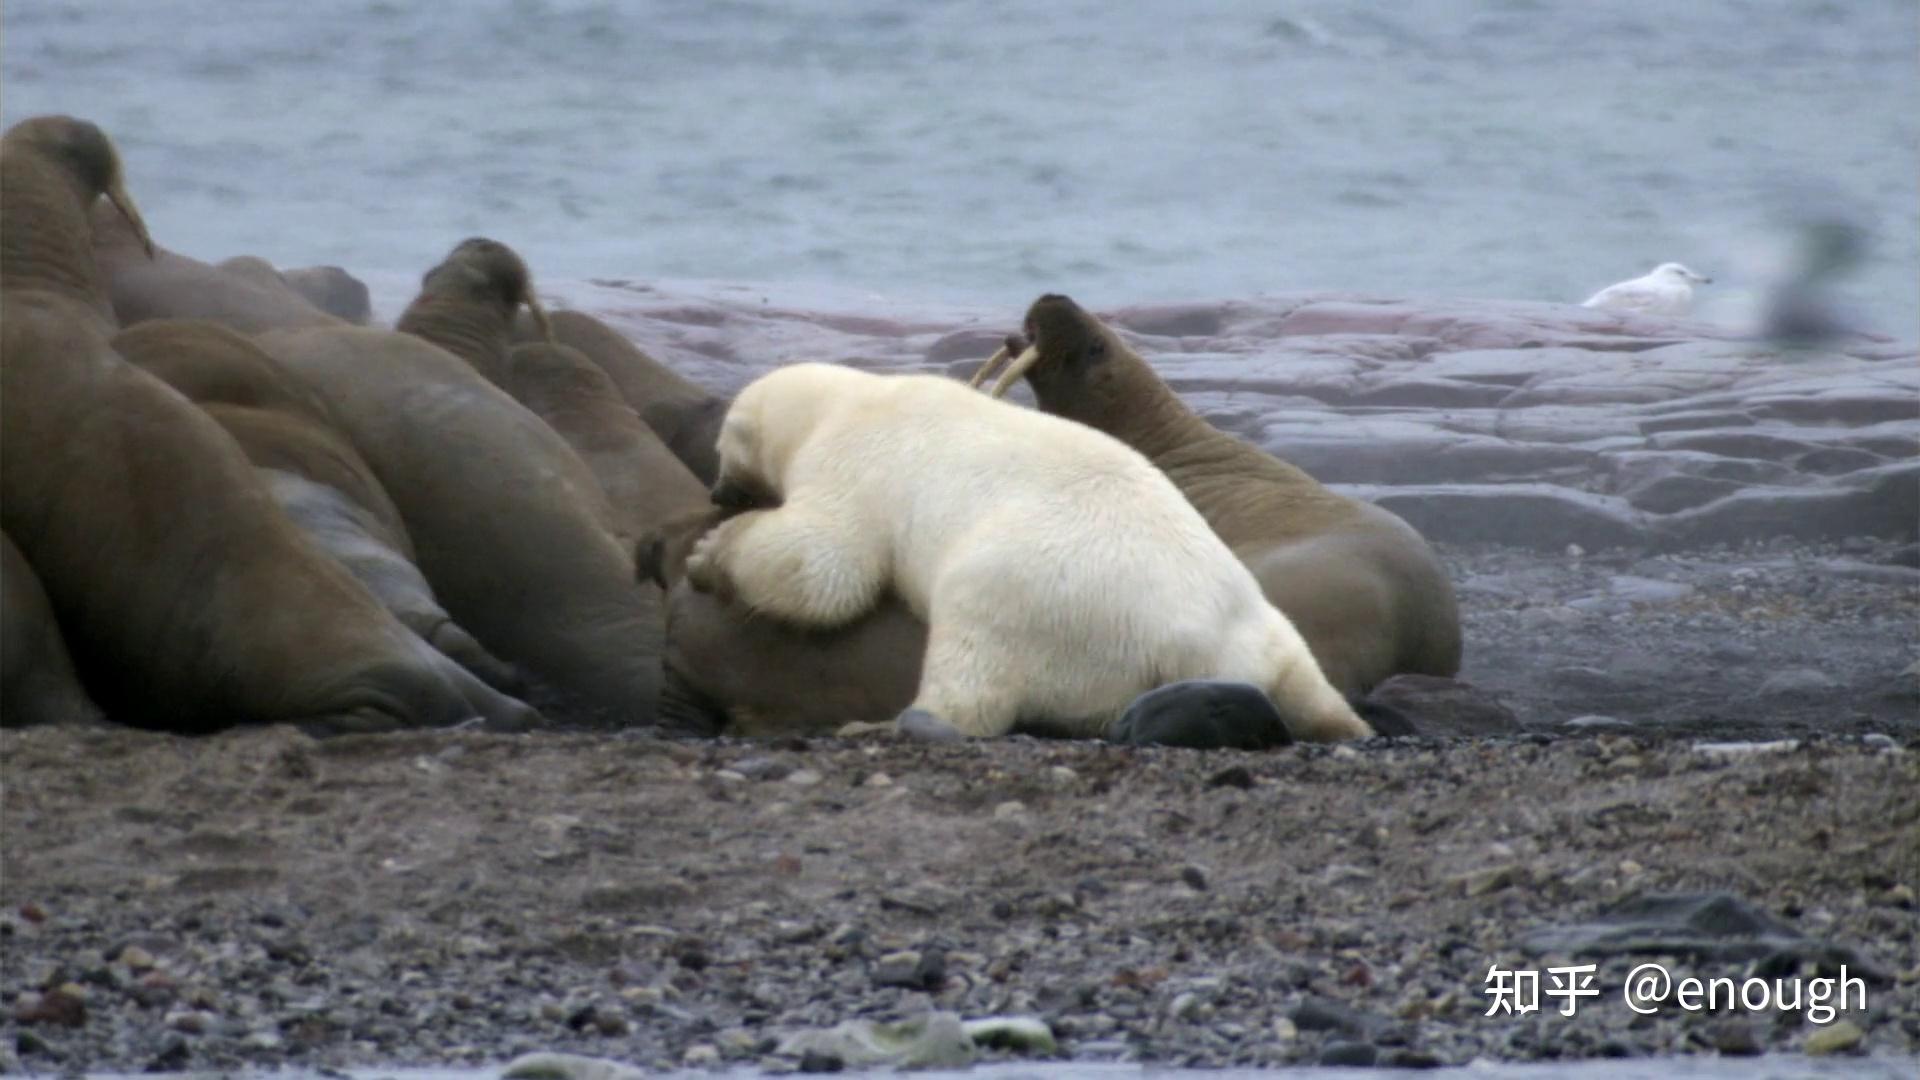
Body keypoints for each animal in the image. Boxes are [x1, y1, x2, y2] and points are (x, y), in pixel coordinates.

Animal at [683, 361, 1374, 737]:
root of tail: (1198, 643)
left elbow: (823, 569)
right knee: (1301, 667)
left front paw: (707, 557)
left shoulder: (853, 465)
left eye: (721, 448)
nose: (717, 491)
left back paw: (884, 722)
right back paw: (1343, 720)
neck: (848, 400)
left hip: (1038, 593)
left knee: (972, 658)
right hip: (1257, 619)